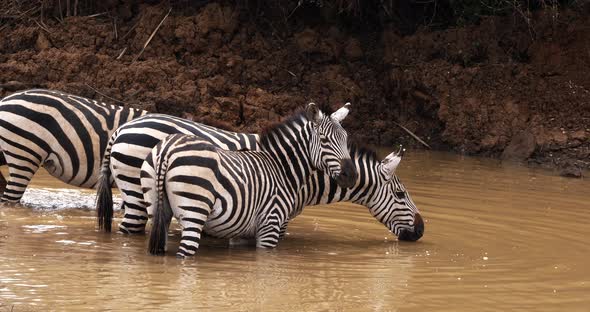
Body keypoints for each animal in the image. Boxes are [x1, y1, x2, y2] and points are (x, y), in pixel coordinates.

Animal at [143, 103, 356, 258]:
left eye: (346, 139)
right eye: (324, 140)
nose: (352, 175)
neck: (281, 169)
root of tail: (167, 148)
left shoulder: (244, 230)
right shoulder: (270, 224)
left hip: (156, 207)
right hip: (194, 210)